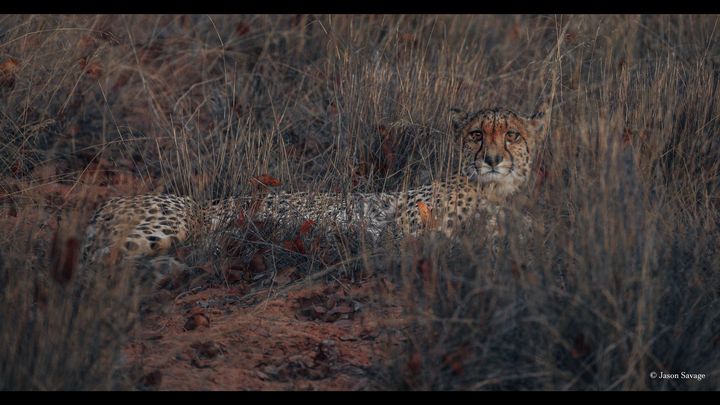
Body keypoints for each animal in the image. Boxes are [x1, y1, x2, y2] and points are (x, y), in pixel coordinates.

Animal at [81, 106, 548, 272]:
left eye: (512, 135)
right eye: (476, 135)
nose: (492, 160)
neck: (494, 193)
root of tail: (107, 204)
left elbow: (515, 234)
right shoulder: (407, 225)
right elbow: (448, 239)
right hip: (170, 226)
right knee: (95, 266)